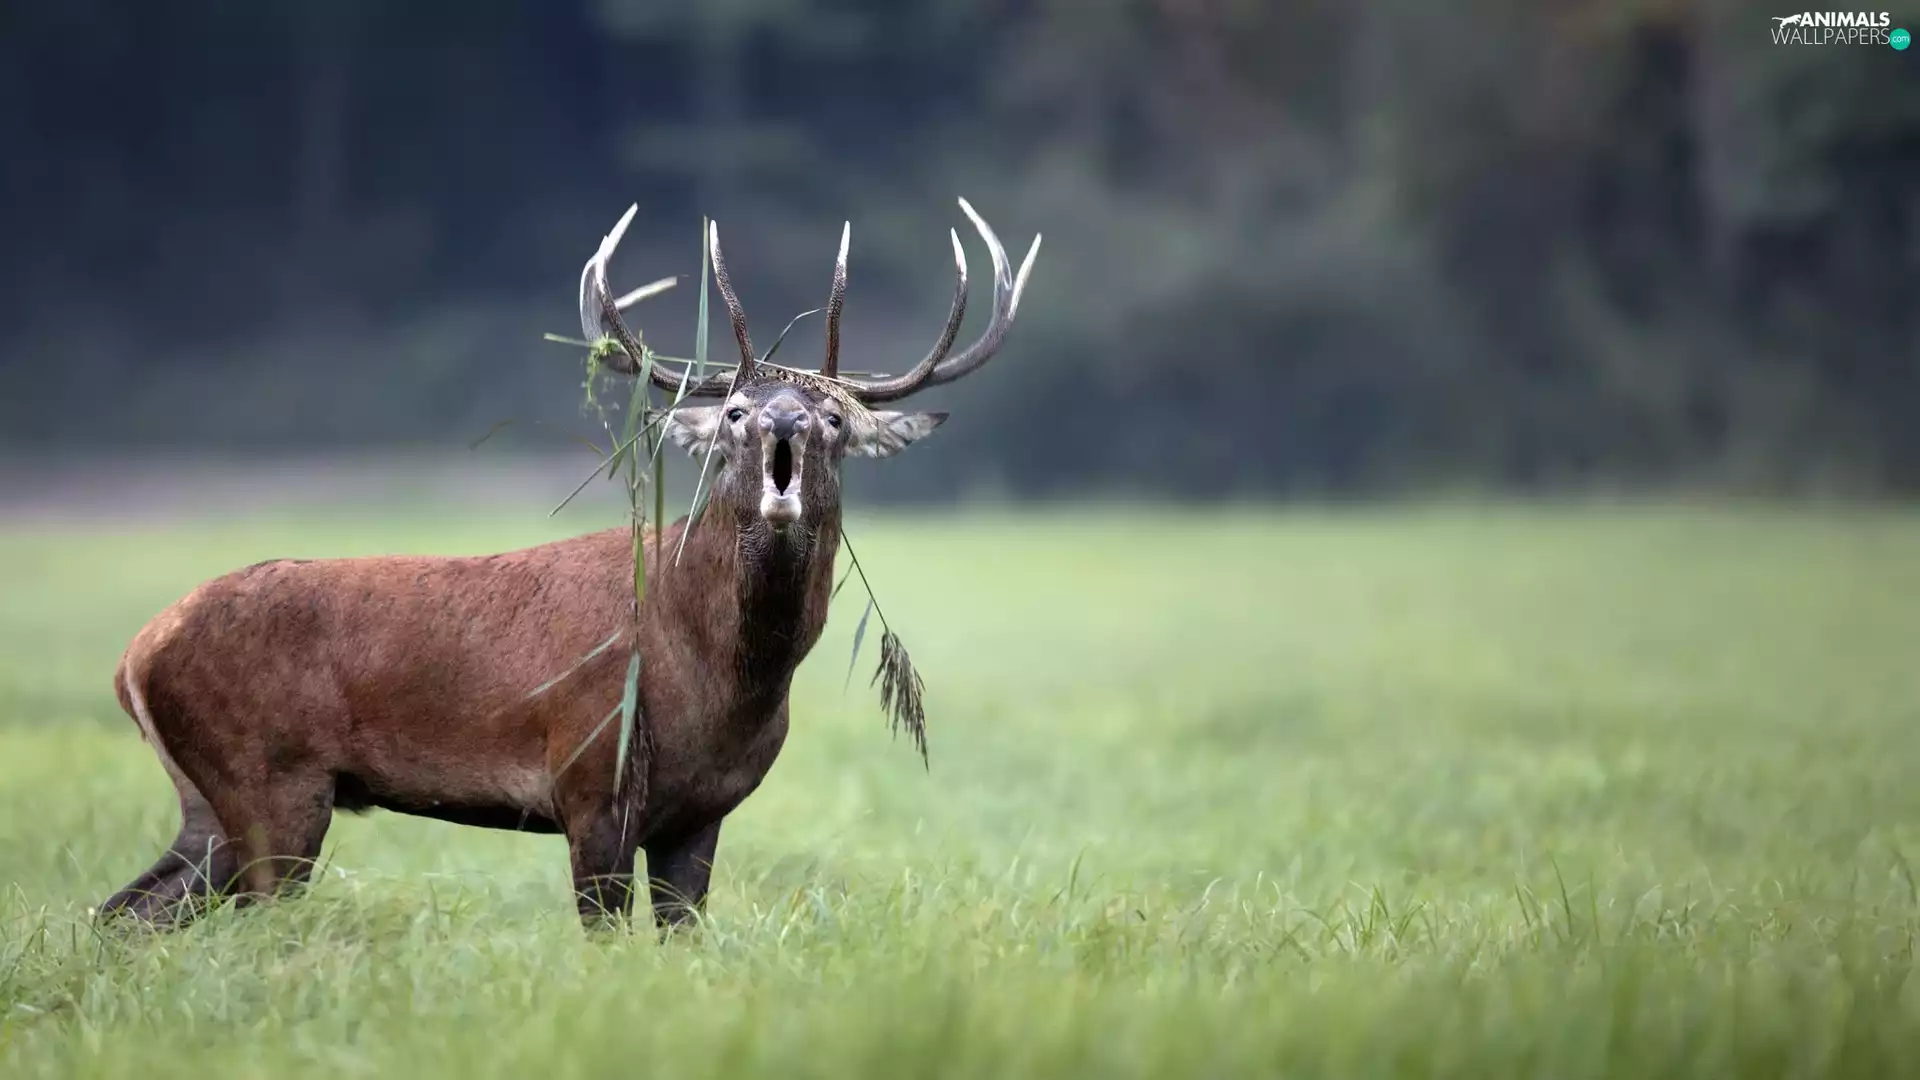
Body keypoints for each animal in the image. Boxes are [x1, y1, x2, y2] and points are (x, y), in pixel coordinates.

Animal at [97, 198, 1040, 931]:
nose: (785, 420)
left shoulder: (701, 814)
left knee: (125, 912)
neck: (718, 673)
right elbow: (603, 936)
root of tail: (135, 654)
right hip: (270, 781)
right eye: (735, 411)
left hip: (211, 802)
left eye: (837, 416)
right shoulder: (587, 777)